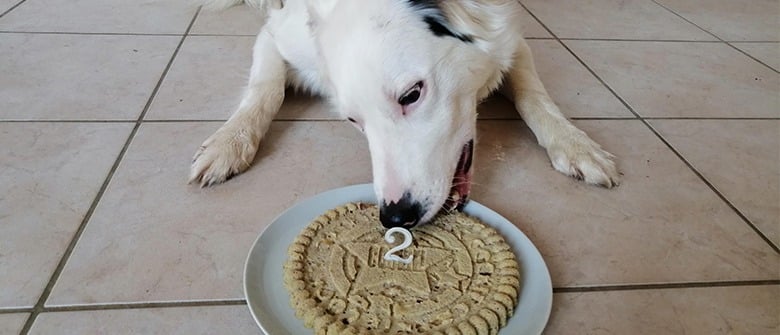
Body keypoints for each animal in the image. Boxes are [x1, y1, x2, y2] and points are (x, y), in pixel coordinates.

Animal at [190, 0, 620, 228]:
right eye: (354, 121)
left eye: (412, 95)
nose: (395, 217)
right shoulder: (277, 34)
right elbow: (266, 87)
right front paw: (229, 142)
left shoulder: (511, 39)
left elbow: (534, 94)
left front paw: (575, 144)